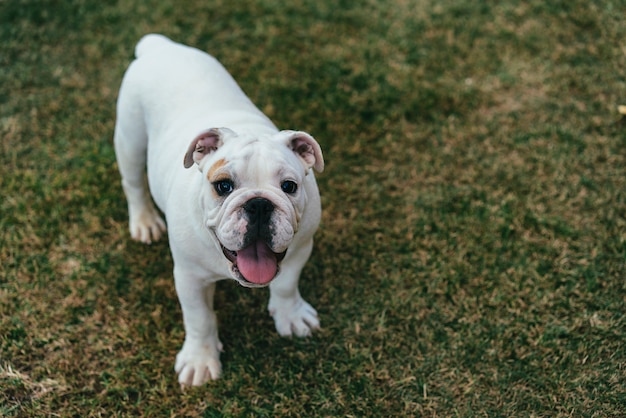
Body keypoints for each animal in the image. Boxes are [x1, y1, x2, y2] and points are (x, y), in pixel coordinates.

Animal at [114, 34, 324, 386]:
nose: (259, 203)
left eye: (289, 186)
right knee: (133, 182)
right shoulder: (189, 277)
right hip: (130, 138)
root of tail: (159, 47)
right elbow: (199, 318)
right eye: (223, 186)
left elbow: (285, 285)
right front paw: (200, 359)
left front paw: (291, 315)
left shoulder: (299, 249)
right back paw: (144, 221)